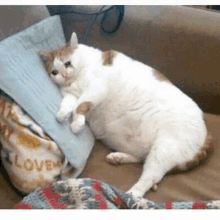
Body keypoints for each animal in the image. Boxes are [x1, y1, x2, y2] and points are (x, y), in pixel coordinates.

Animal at [38, 31, 211, 198]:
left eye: (67, 63)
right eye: (54, 72)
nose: (64, 75)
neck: (76, 80)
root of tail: (207, 135)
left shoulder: (96, 89)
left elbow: (80, 106)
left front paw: (76, 124)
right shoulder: (72, 95)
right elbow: (69, 105)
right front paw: (62, 115)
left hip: (164, 149)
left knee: (150, 178)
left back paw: (132, 195)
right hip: (151, 150)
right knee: (141, 158)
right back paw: (118, 157)